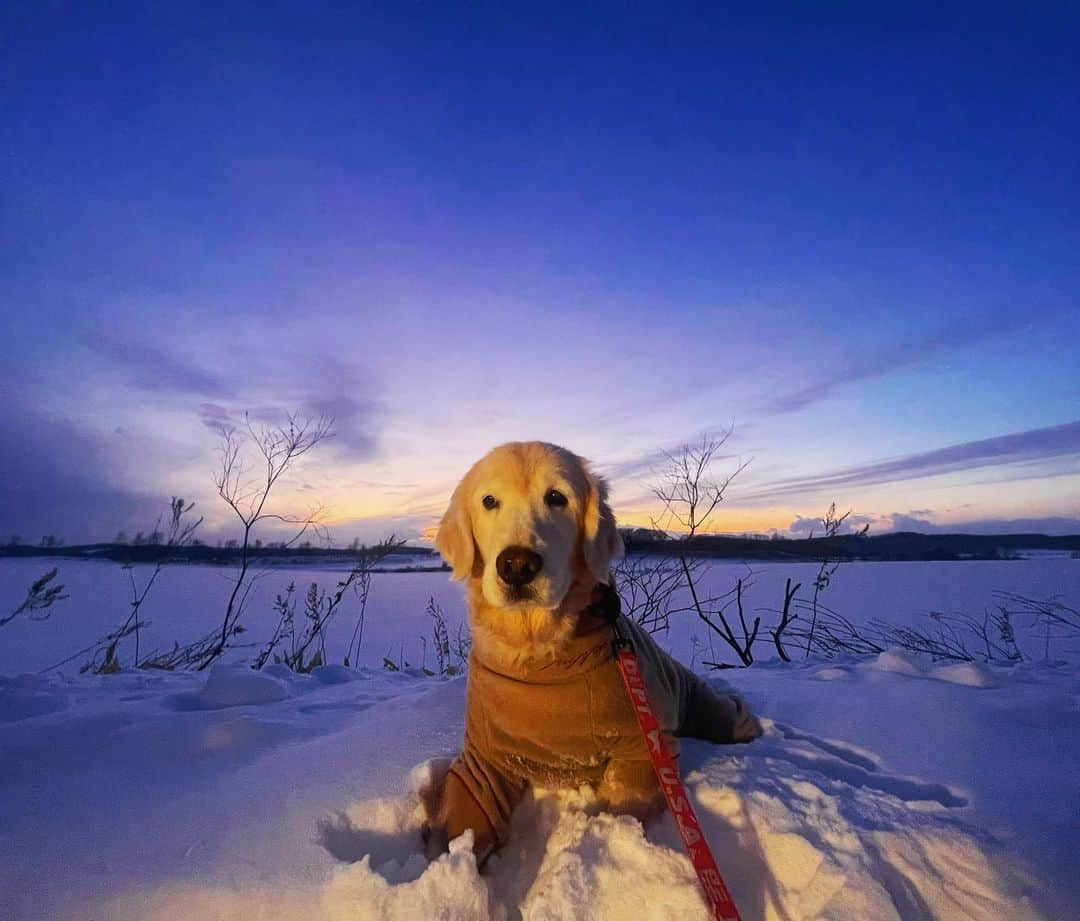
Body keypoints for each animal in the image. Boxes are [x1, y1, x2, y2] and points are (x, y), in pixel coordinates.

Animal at [419, 442, 760, 859]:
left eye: (556, 498)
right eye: (488, 501)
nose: (517, 565)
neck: (540, 651)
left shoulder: (643, 746)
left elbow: (626, 799)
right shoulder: (483, 759)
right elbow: (465, 818)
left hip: (700, 702)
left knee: (727, 712)